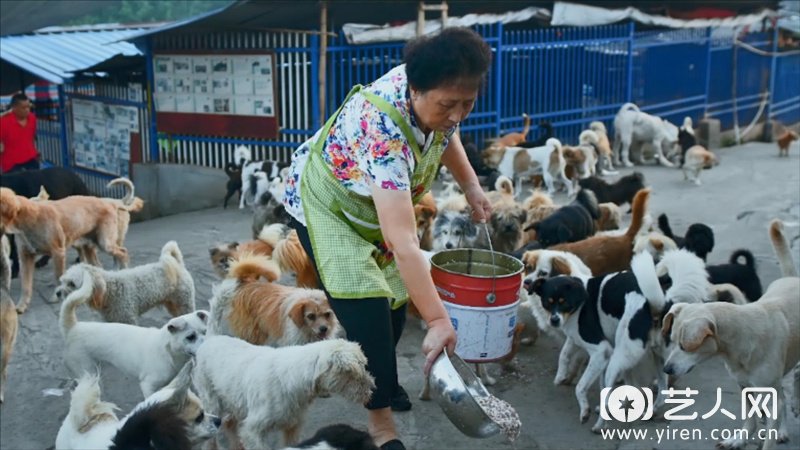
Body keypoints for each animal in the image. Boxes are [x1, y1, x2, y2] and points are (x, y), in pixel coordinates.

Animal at [53, 241, 197, 326]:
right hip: (172, 303)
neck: (109, 292)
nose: (58, 293)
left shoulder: (127, 320)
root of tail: (177, 264)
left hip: (185, 302)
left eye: (72, 284)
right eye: (62, 281)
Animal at [209, 253, 338, 348]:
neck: (307, 331)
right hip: (252, 333)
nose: (324, 329)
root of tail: (247, 282)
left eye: (327, 314)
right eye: (310, 316)